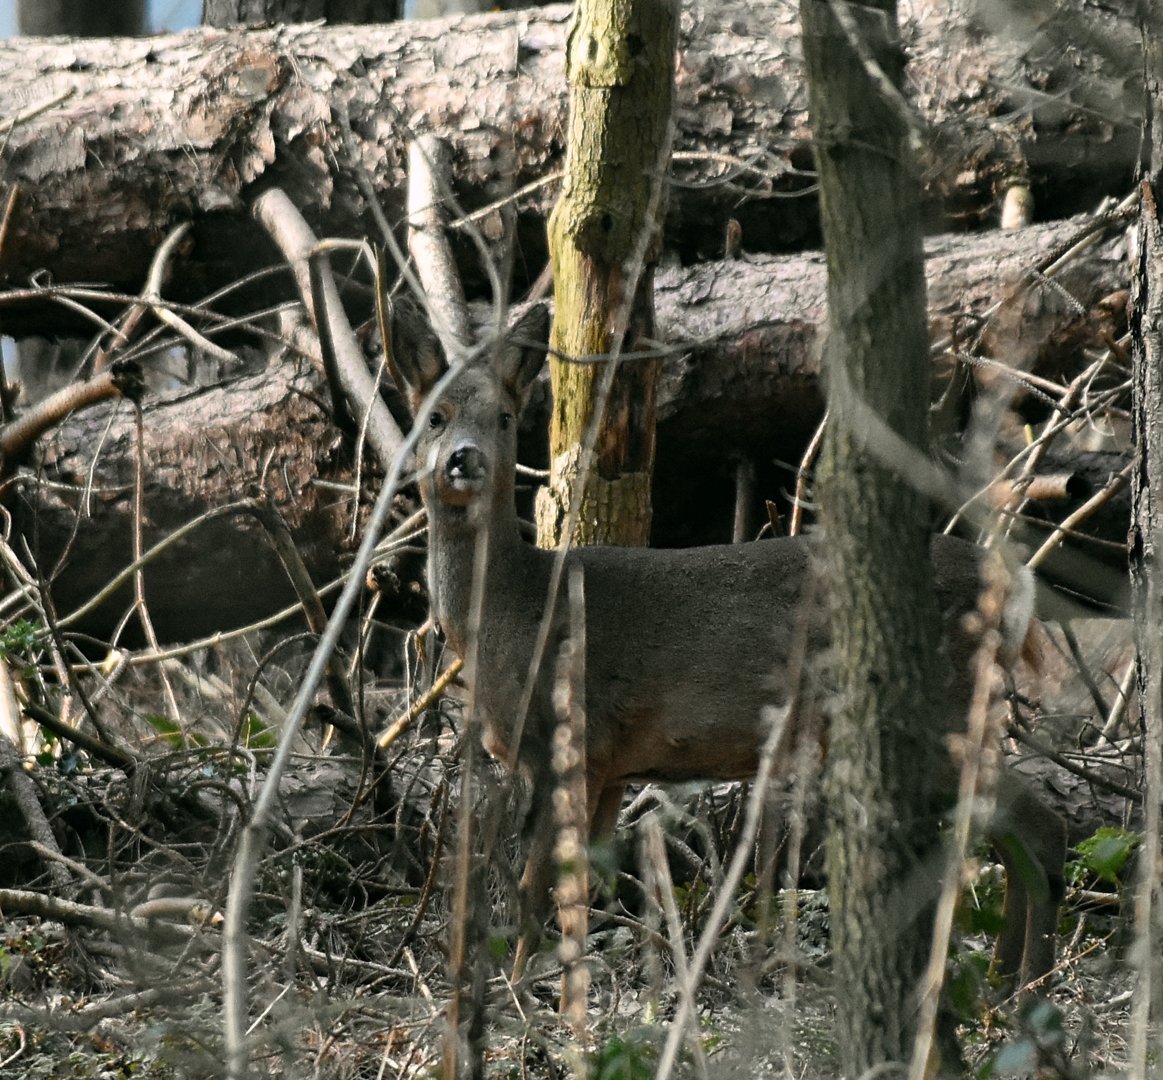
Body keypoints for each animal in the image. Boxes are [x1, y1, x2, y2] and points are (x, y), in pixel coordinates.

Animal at [388, 299, 1065, 990]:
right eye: (434, 416)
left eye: (503, 417)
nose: (464, 458)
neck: (511, 610)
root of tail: (1017, 589)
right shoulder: (611, 763)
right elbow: (583, 884)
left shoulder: (568, 735)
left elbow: (538, 886)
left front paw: (519, 988)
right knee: (1008, 829)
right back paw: (1007, 979)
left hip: (938, 707)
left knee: (1040, 824)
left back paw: (1024, 982)